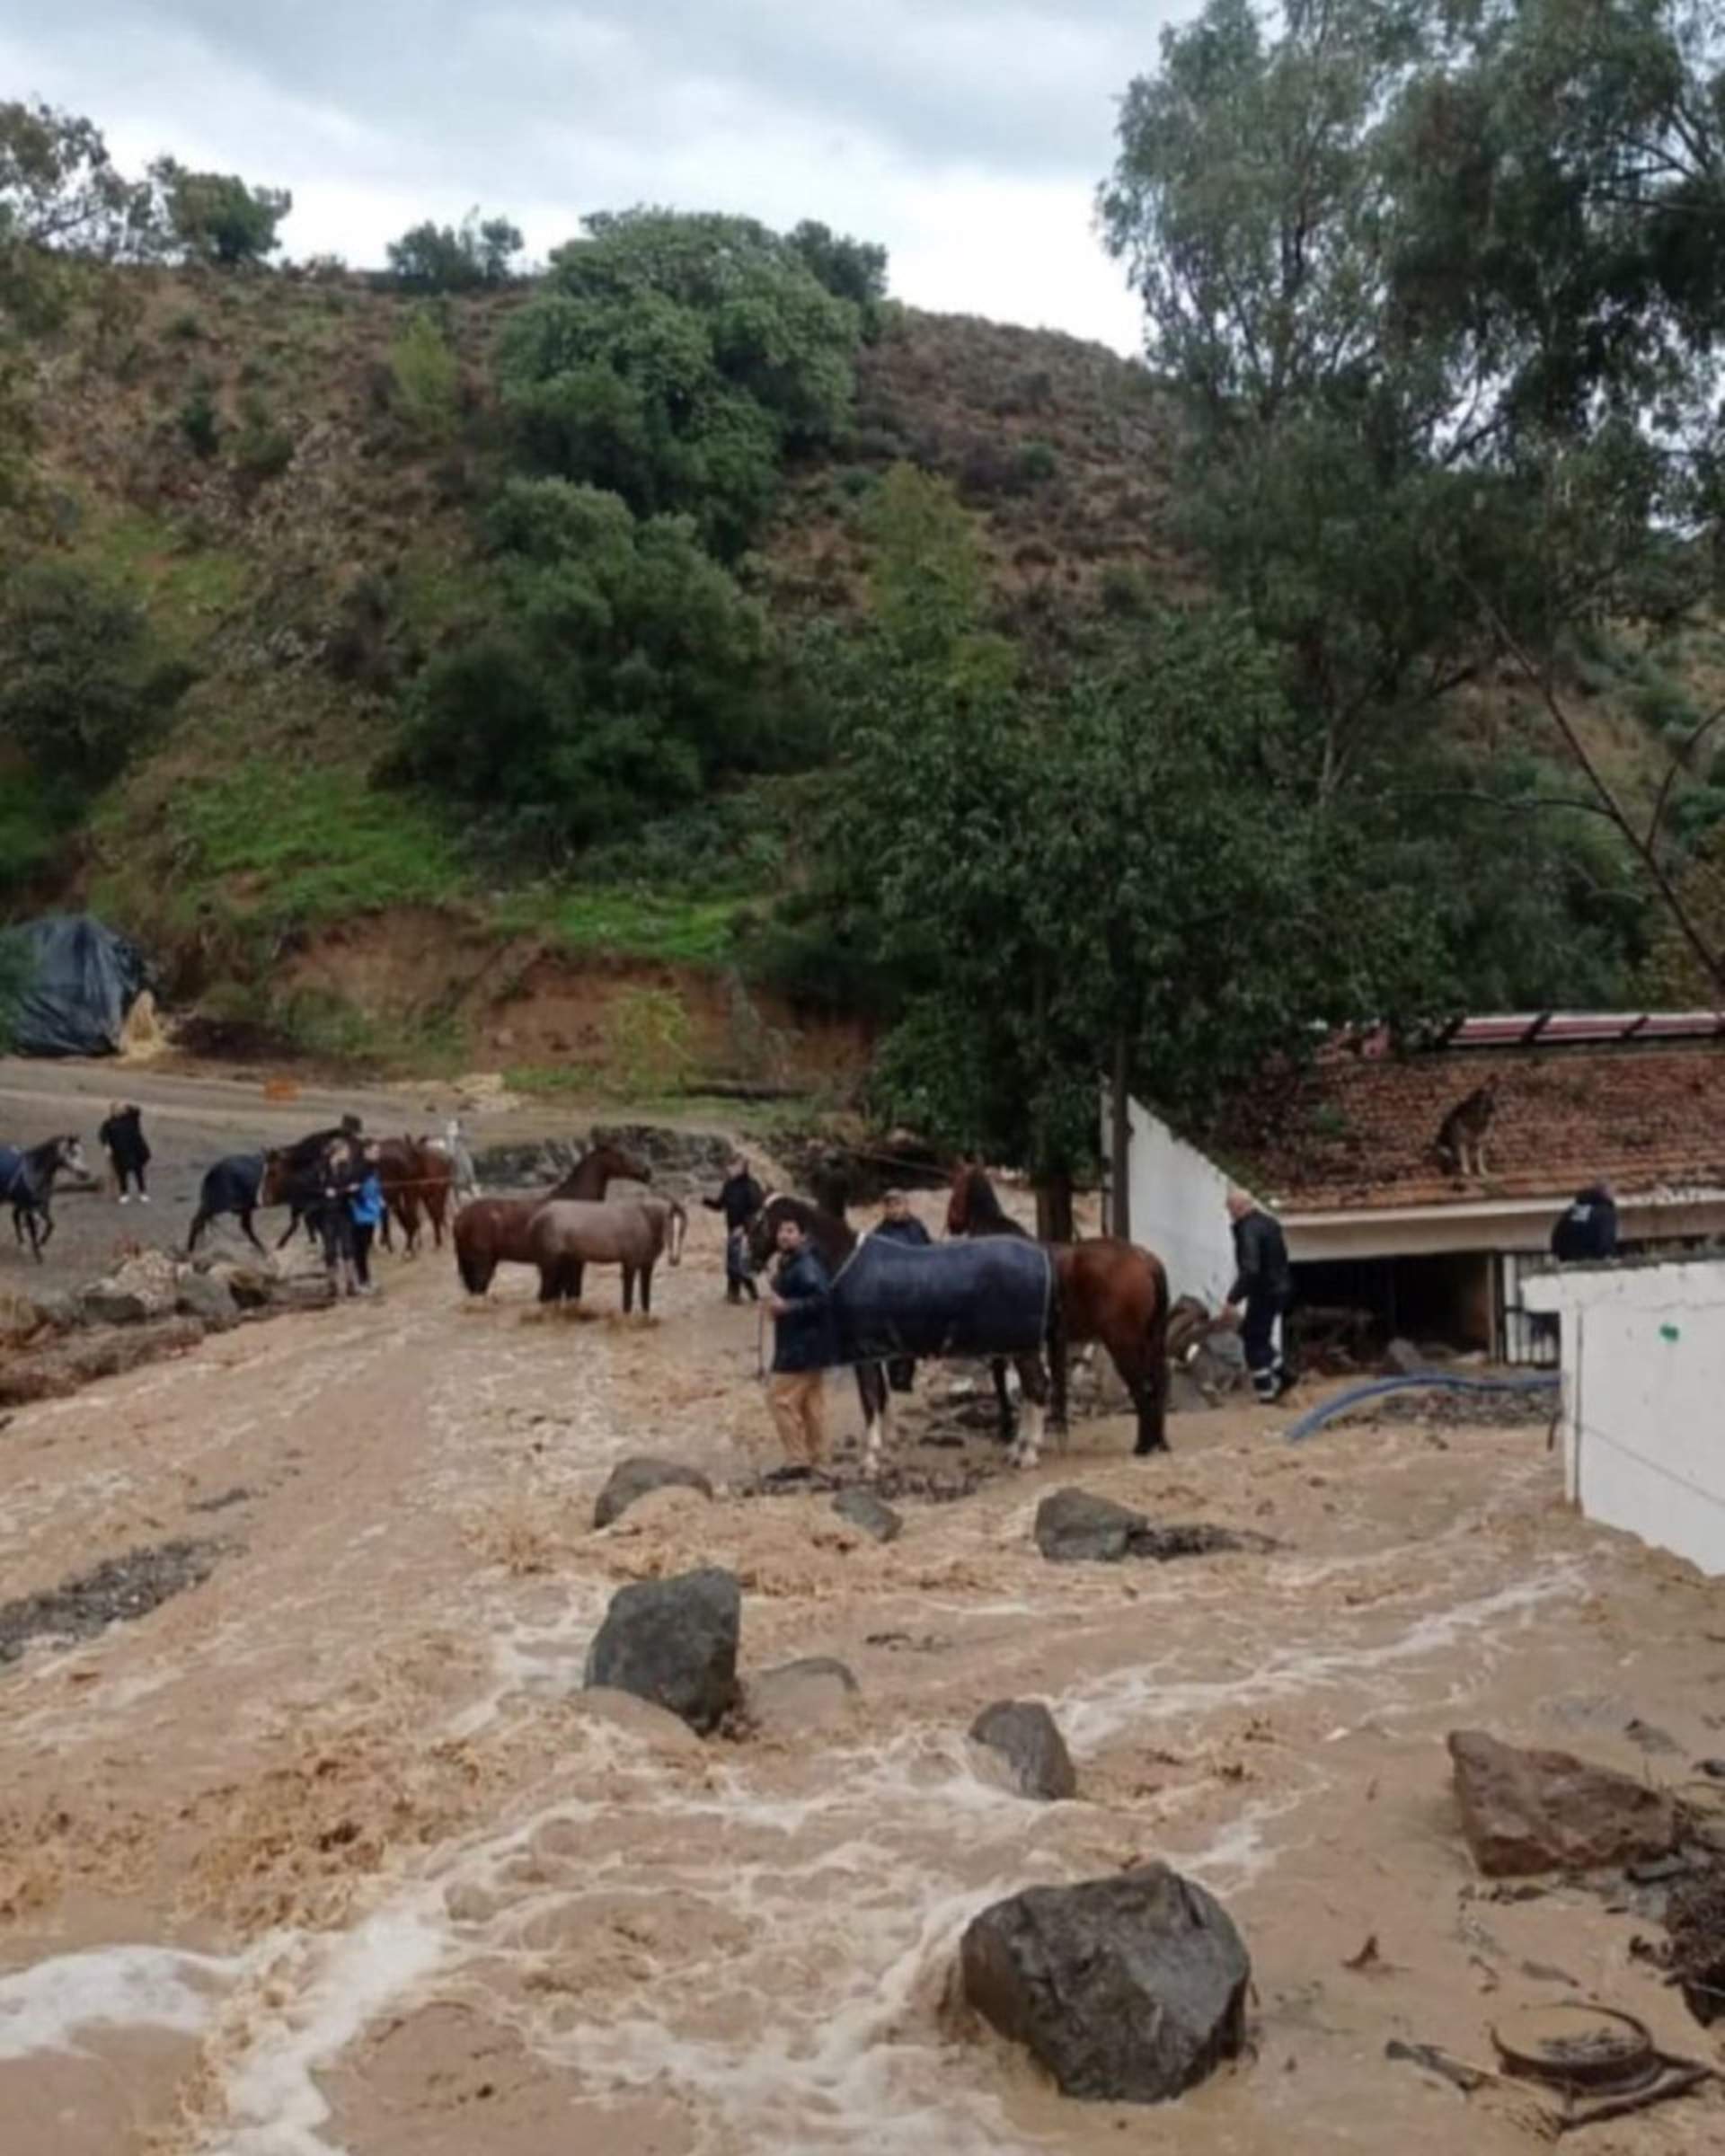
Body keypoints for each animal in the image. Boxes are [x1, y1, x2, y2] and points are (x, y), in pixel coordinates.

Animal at [746, 1189, 1057, 1474]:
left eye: (757, 1222)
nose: (747, 1261)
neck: (846, 1263)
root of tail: (1041, 1257)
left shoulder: (864, 1353)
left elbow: (870, 1399)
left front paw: (870, 1459)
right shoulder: (877, 1353)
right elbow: (882, 1398)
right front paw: (886, 1450)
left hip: (1023, 1346)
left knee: (1037, 1387)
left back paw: (1029, 1453)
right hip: (1018, 1345)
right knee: (1030, 1391)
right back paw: (1017, 1448)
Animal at [944, 1172, 1172, 1457]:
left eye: (956, 1187)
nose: (951, 1223)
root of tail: (1143, 1259)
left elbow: (1004, 1381)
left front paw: (1010, 1431)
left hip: (1123, 1342)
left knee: (1141, 1386)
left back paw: (1143, 1445)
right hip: (1150, 1339)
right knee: (1158, 1382)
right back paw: (1158, 1441)